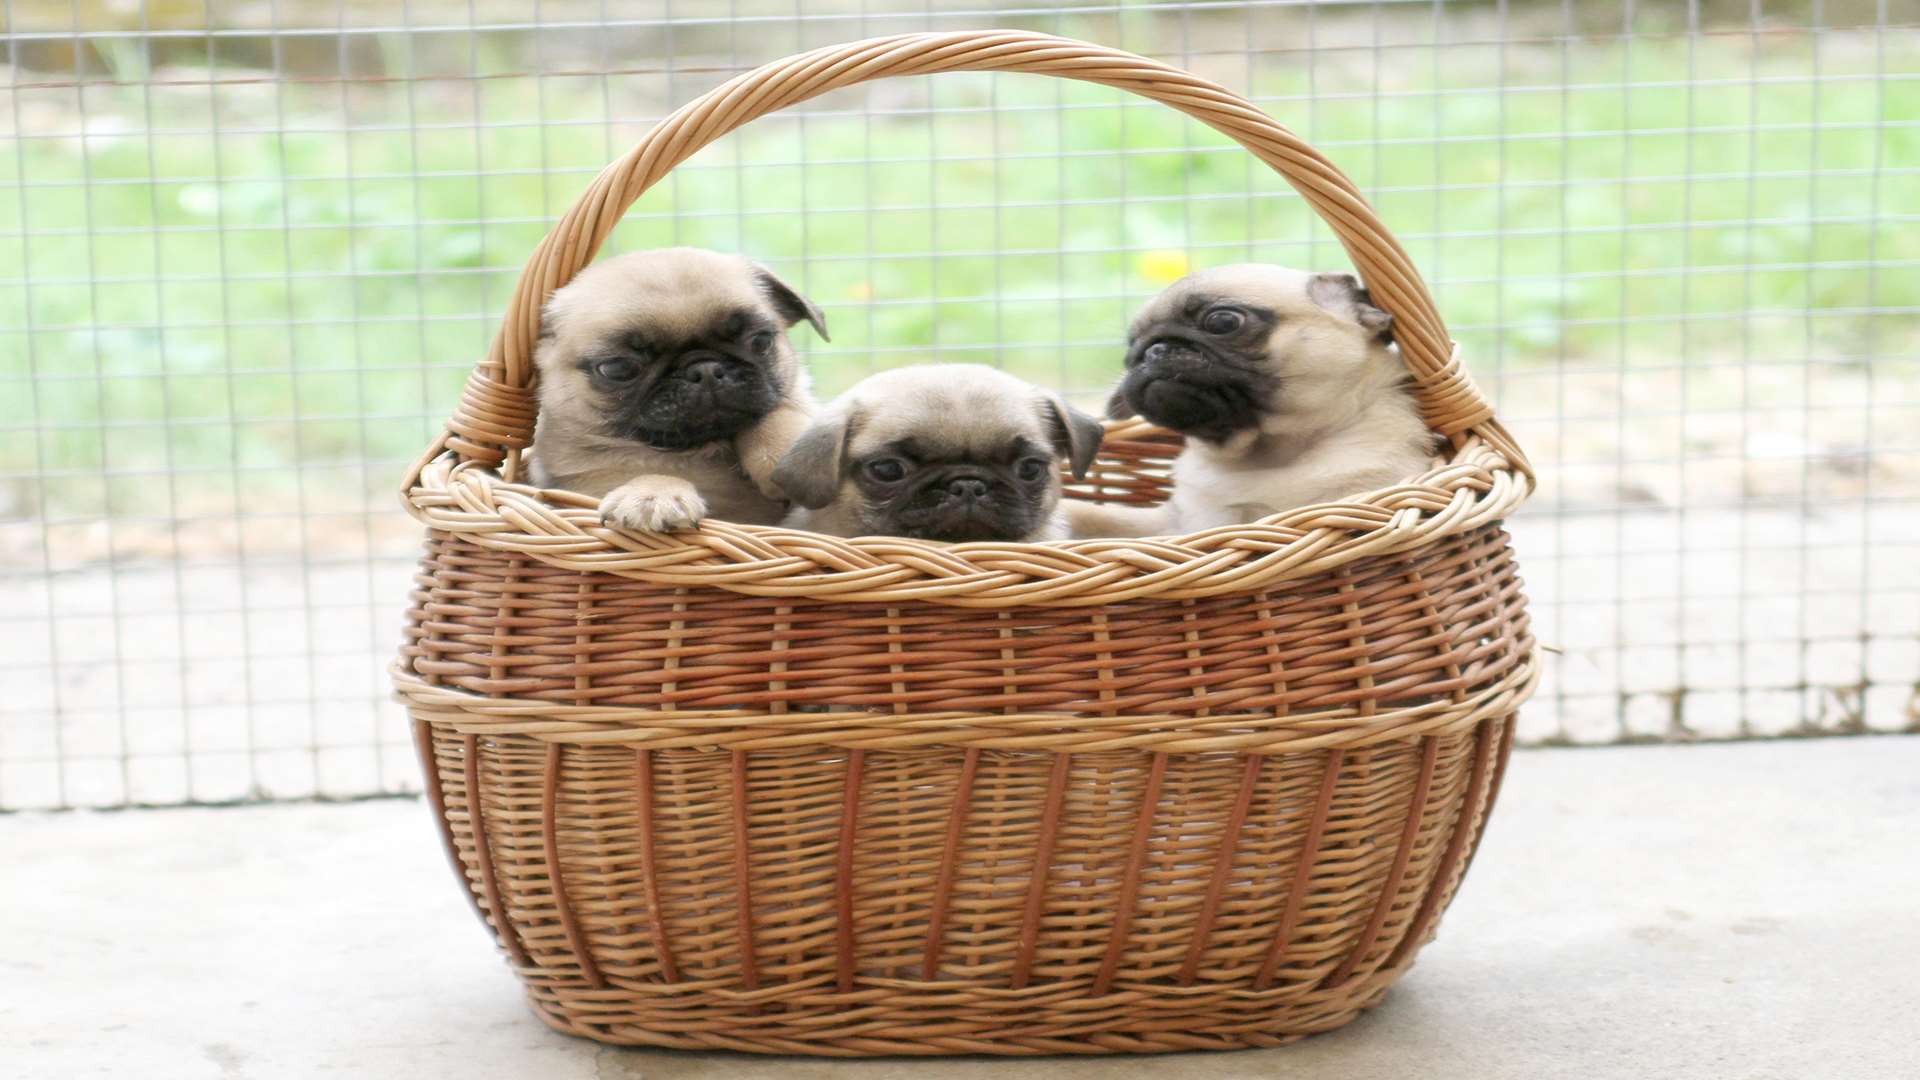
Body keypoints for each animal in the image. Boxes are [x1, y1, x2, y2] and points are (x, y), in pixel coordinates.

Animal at [529, 245, 829, 530]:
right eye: (618, 369)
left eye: (760, 341)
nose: (706, 370)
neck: (701, 450)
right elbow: (645, 473)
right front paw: (652, 495)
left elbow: (779, 413)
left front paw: (782, 453)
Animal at [1067, 265, 1443, 534]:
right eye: (1131, 350)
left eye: (1222, 321)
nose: (1152, 351)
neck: (1261, 456)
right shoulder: (1175, 523)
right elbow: (1105, 520)